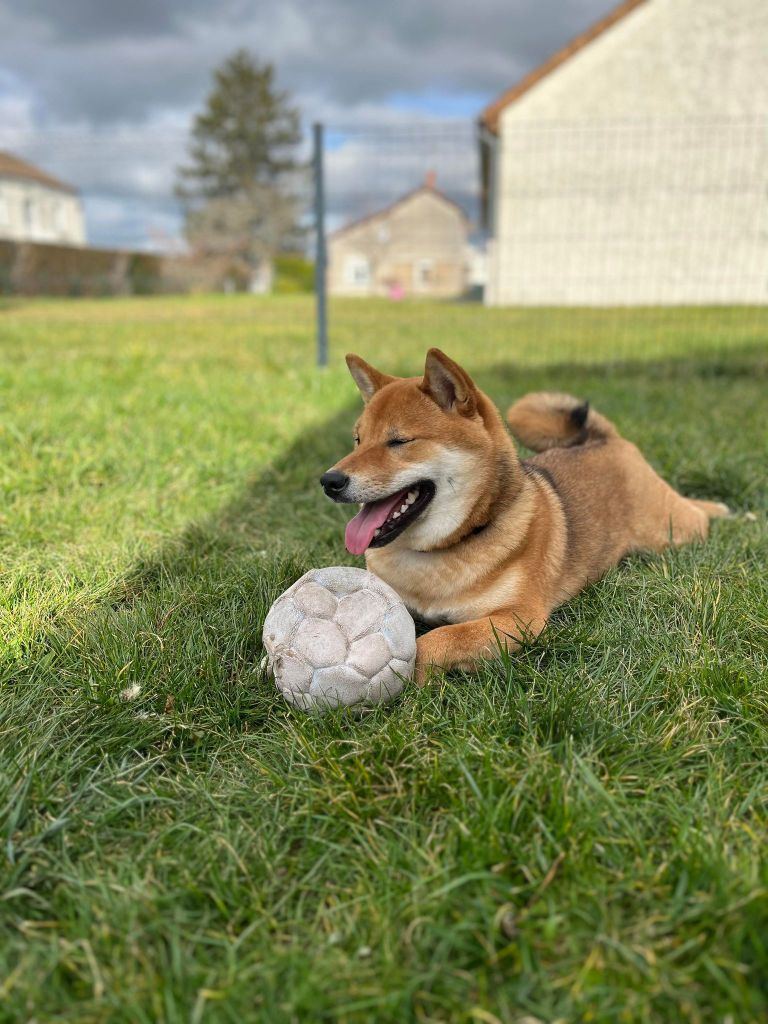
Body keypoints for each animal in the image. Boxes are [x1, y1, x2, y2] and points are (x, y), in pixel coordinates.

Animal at [321, 348, 729, 684]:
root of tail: (605, 440)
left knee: (696, 514)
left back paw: (721, 509)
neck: (436, 555)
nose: (329, 480)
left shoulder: (519, 618)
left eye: (399, 441)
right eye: (358, 440)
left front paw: (410, 684)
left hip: (672, 532)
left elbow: (438, 639)